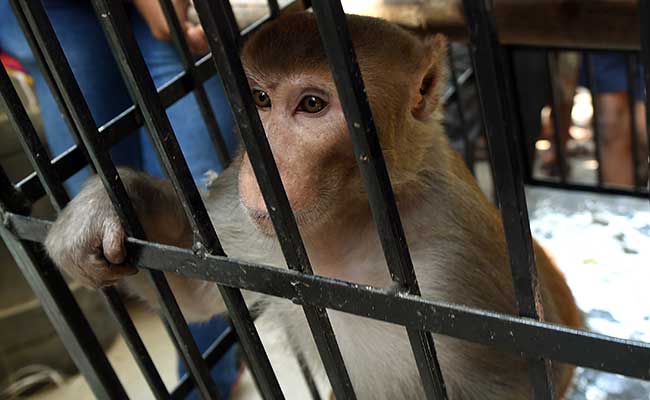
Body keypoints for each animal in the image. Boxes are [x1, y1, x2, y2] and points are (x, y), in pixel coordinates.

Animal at [44, 12, 583, 400]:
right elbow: (199, 287)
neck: (347, 225)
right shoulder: (243, 221)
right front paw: (100, 210)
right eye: (260, 99)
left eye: (312, 105)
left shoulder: (461, 260)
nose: (263, 168)